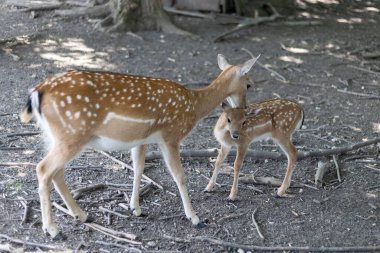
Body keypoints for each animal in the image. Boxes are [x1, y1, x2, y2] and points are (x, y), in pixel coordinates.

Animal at [19, 54, 260, 238]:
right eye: (249, 84)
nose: (245, 108)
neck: (194, 105)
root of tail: (38, 91)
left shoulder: (141, 139)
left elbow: (138, 169)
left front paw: (136, 208)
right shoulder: (170, 136)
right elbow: (180, 176)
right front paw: (195, 217)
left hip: (55, 135)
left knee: (56, 172)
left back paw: (83, 215)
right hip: (72, 134)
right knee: (43, 169)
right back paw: (53, 229)